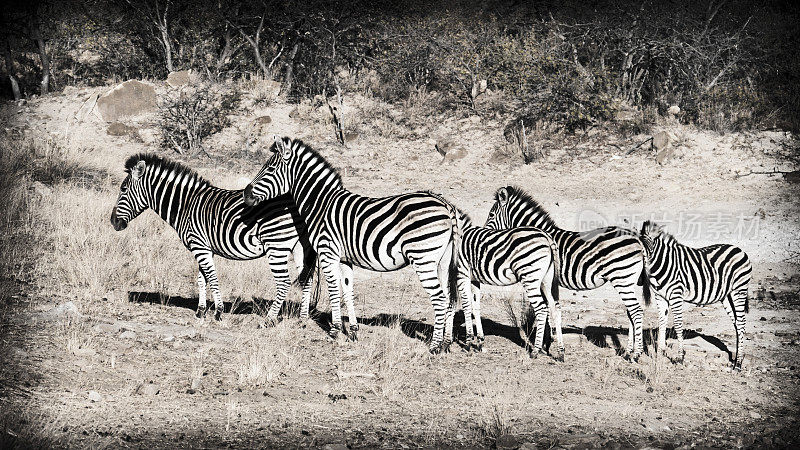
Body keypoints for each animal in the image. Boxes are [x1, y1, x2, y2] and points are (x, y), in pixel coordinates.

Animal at [108, 153, 312, 322]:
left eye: (123, 189)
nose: (113, 222)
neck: (185, 205)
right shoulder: (204, 247)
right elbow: (201, 278)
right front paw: (200, 311)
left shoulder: (199, 246)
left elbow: (212, 277)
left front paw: (218, 312)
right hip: (301, 247)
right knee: (307, 280)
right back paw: (303, 319)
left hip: (277, 245)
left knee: (284, 282)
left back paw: (270, 319)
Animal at [242, 135, 462, 354]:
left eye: (270, 169)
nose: (245, 195)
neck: (321, 204)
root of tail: (446, 204)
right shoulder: (344, 259)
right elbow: (348, 291)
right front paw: (353, 331)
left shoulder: (327, 253)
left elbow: (334, 290)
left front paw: (334, 330)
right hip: (442, 261)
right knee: (449, 299)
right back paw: (446, 343)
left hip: (423, 257)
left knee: (439, 299)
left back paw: (434, 346)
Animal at [454, 209, 564, 360]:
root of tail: (547, 237)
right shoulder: (474, 279)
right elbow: (476, 307)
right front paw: (480, 342)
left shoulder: (462, 273)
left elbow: (466, 306)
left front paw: (468, 343)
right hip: (547, 281)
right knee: (555, 309)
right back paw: (560, 352)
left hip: (530, 276)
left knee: (541, 309)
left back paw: (535, 351)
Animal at [488, 185, 648, 358]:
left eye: (491, 215)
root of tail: (637, 239)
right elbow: (549, 310)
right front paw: (547, 343)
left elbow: (545, 310)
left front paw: (545, 344)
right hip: (627, 280)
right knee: (631, 313)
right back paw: (629, 351)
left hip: (622, 278)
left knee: (636, 311)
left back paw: (636, 353)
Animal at [636, 220, 752, 370]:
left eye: (646, 254)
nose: (639, 281)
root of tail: (740, 250)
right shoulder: (660, 297)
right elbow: (661, 323)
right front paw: (660, 354)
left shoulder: (676, 295)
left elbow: (678, 325)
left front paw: (680, 357)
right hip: (727, 296)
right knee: (737, 323)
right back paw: (738, 359)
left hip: (739, 290)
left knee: (742, 322)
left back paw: (738, 364)